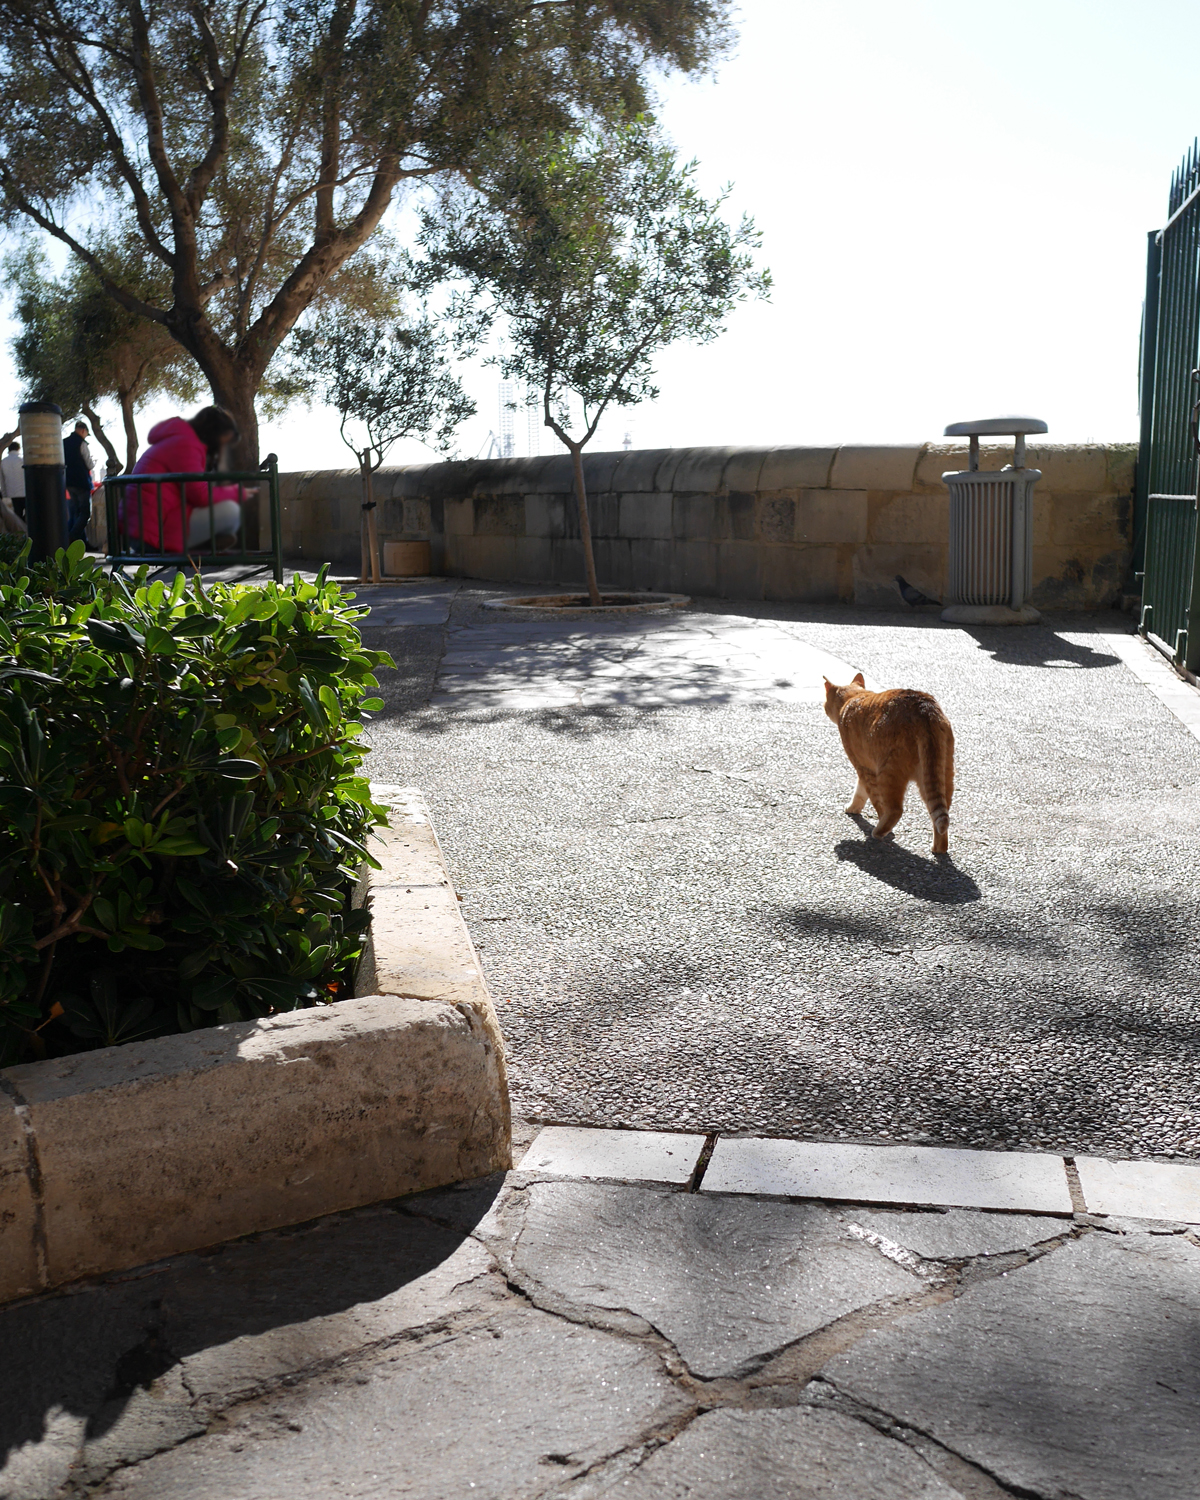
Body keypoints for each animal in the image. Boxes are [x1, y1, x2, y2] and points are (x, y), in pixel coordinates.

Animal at [822, 678, 954, 858]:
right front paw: (853, 808)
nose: (823, 706)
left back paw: (878, 832)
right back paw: (939, 849)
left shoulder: (864, 767)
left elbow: (873, 799)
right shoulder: (865, 767)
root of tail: (924, 710)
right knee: (941, 814)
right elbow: (860, 791)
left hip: (889, 773)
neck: (853, 698)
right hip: (940, 773)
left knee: (895, 810)